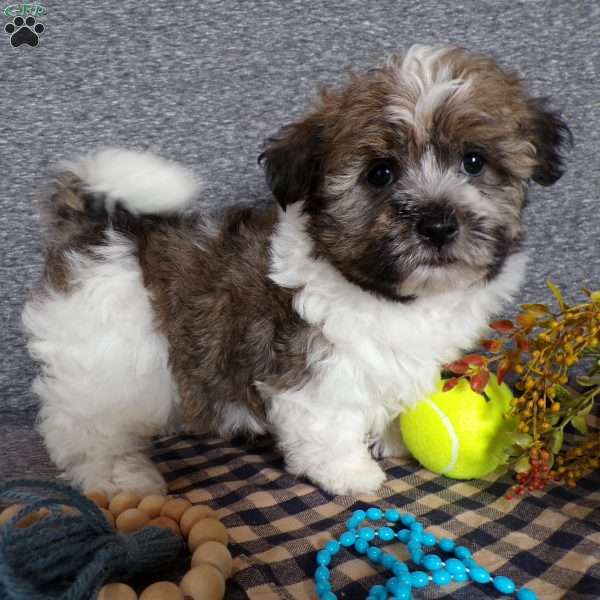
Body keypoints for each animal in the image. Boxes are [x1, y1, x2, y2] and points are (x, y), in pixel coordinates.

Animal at [22, 45, 568, 496]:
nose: (436, 224)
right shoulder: (313, 368)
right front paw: (350, 473)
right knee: (84, 430)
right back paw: (122, 476)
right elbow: (327, 425)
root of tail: (98, 234)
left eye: (474, 161)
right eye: (380, 173)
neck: (387, 294)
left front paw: (391, 438)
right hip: (105, 365)